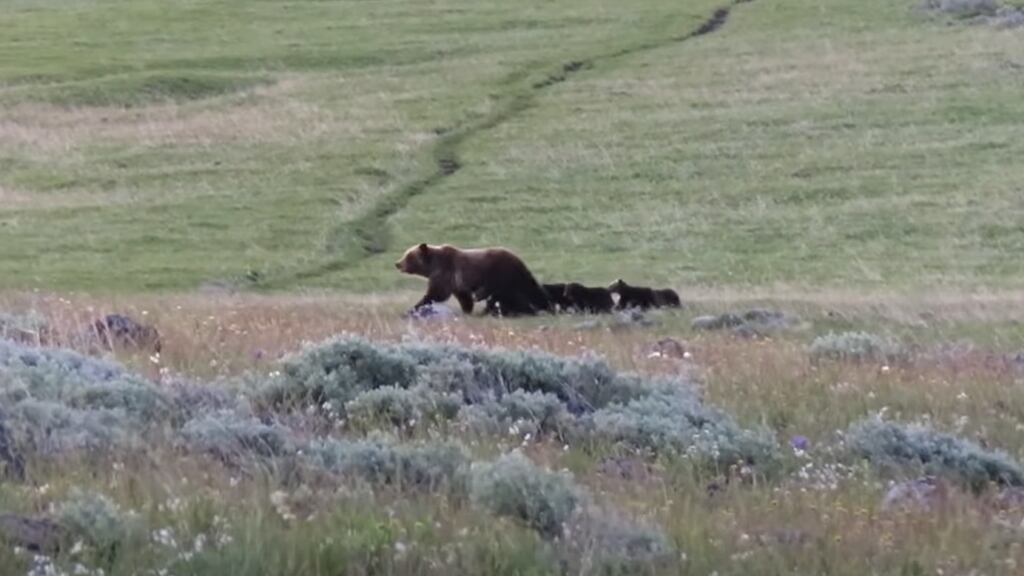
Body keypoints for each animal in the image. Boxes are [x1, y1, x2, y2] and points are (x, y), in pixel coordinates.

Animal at [395, 243, 552, 316]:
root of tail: (518, 259)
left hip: (500, 273)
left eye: (408, 256)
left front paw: (412, 309)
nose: (397, 263)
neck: (432, 266)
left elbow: (436, 294)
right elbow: (464, 298)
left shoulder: (444, 274)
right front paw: (467, 310)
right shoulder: (457, 283)